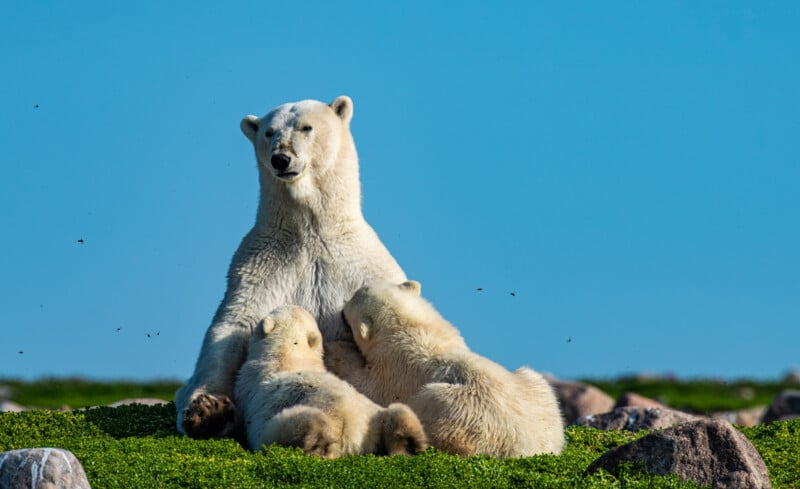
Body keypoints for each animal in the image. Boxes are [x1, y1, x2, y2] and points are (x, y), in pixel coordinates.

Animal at [179, 95, 410, 438]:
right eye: (268, 132)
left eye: (306, 127)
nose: (281, 159)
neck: (310, 230)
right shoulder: (262, 267)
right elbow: (231, 329)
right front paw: (208, 410)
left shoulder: (360, 269)